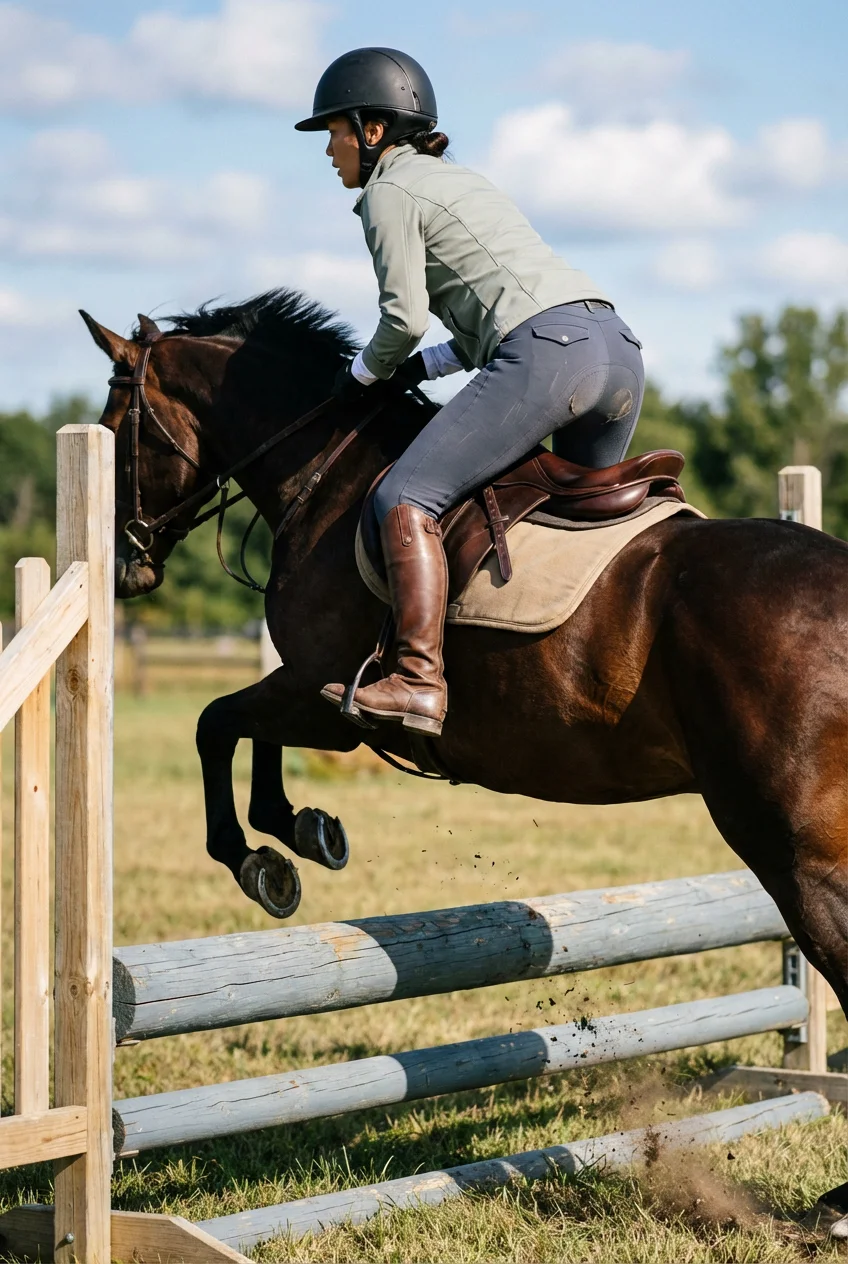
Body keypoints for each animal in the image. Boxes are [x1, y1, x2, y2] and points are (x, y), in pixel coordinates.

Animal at [80, 291, 848, 1029]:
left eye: (116, 430)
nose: (123, 566)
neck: (329, 480)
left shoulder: (329, 704)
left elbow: (216, 723)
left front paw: (257, 861)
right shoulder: (307, 691)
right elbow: (244, 730)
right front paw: (302, 827)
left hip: (795, 854)